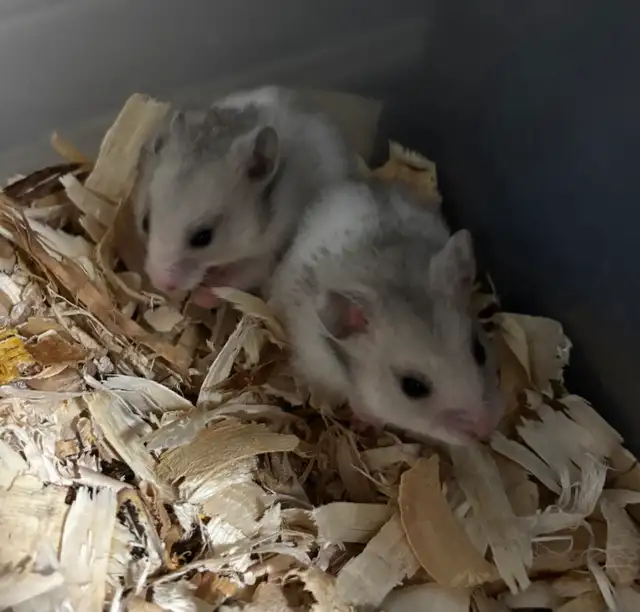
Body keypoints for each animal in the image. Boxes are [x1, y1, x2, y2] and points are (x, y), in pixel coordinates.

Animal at [134, 86, 351, 308]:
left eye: (203, 237)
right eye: (145, 223)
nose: (160, 284)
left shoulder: (268, 254)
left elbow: (238, 277)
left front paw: (201, 297)